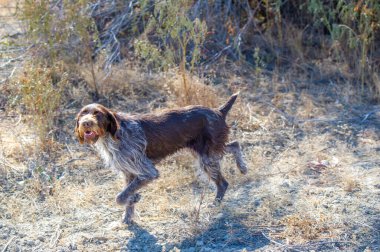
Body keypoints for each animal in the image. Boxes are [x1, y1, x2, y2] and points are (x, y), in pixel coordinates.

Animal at [75, 93, 248, 223]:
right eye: (83, 114)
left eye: (97, 114)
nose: (86, 123)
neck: (113, 135)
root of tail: (218, 111)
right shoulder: (129, 173)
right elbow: (125, 195)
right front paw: (129, 213)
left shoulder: (148, 172)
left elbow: (120, 197)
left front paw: (134, 198)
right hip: (207, 151)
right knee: (234, 144)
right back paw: (242, 167)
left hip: (207, 157)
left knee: (223, 183)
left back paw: (216, 203)